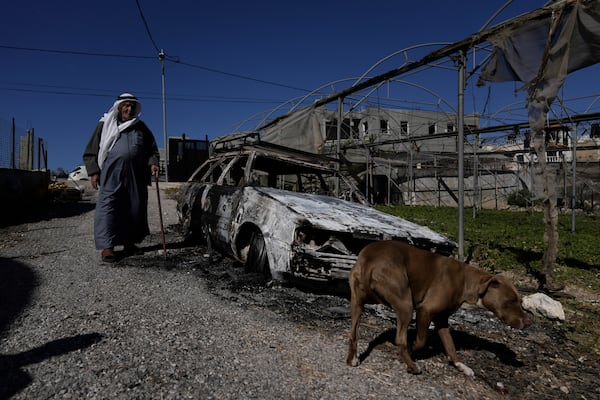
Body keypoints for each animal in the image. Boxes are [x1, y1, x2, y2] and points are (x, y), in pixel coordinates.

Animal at [346, 241, 528, 376]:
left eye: (521, 301)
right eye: (510, 301)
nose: (528, 323)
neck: (467, 282)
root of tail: (370, 260)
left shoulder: (442, 319)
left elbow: (450, 346)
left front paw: (461, 366)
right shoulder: (425, 310)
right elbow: (421, 341)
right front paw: (413, 350)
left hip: (357, 303)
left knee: (353, 333)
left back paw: (352, 360)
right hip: (405, 305)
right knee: (400, 339)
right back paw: (413, 367)